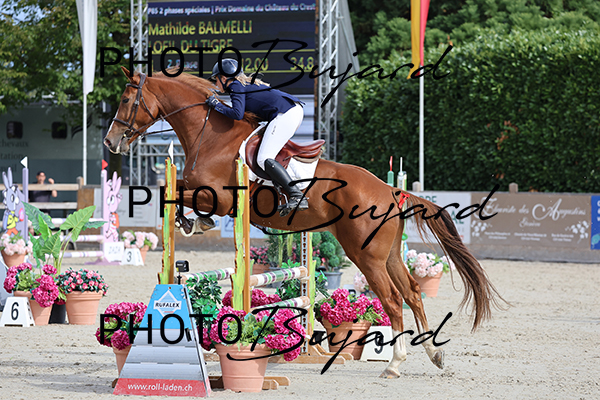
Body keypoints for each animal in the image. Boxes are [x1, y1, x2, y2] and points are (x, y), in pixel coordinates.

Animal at [104, 67, 506, 378]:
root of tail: (390, 191)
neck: (210, 133)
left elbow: (174, 195)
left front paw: (193, 222)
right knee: (412, 293)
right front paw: (192, 223)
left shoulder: (221, 197)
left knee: (393, 300)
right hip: (389, 254)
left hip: (367, 255)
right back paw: (433, 355)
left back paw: (394, 365)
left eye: (125, 99)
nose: (110, 142)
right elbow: (174, 191)